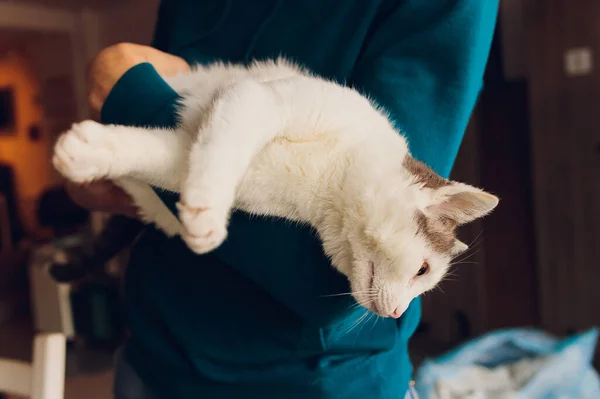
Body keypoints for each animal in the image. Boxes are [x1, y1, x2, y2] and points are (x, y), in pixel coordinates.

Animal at [54, 58, 500, 318]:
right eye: (422, 270)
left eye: (424, 281)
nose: (398, 315)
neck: (330, 179)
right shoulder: (256, 99)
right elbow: (224, 146)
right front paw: (204, 210)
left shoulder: (202, 160)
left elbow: (158, 155)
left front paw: (93, 153)